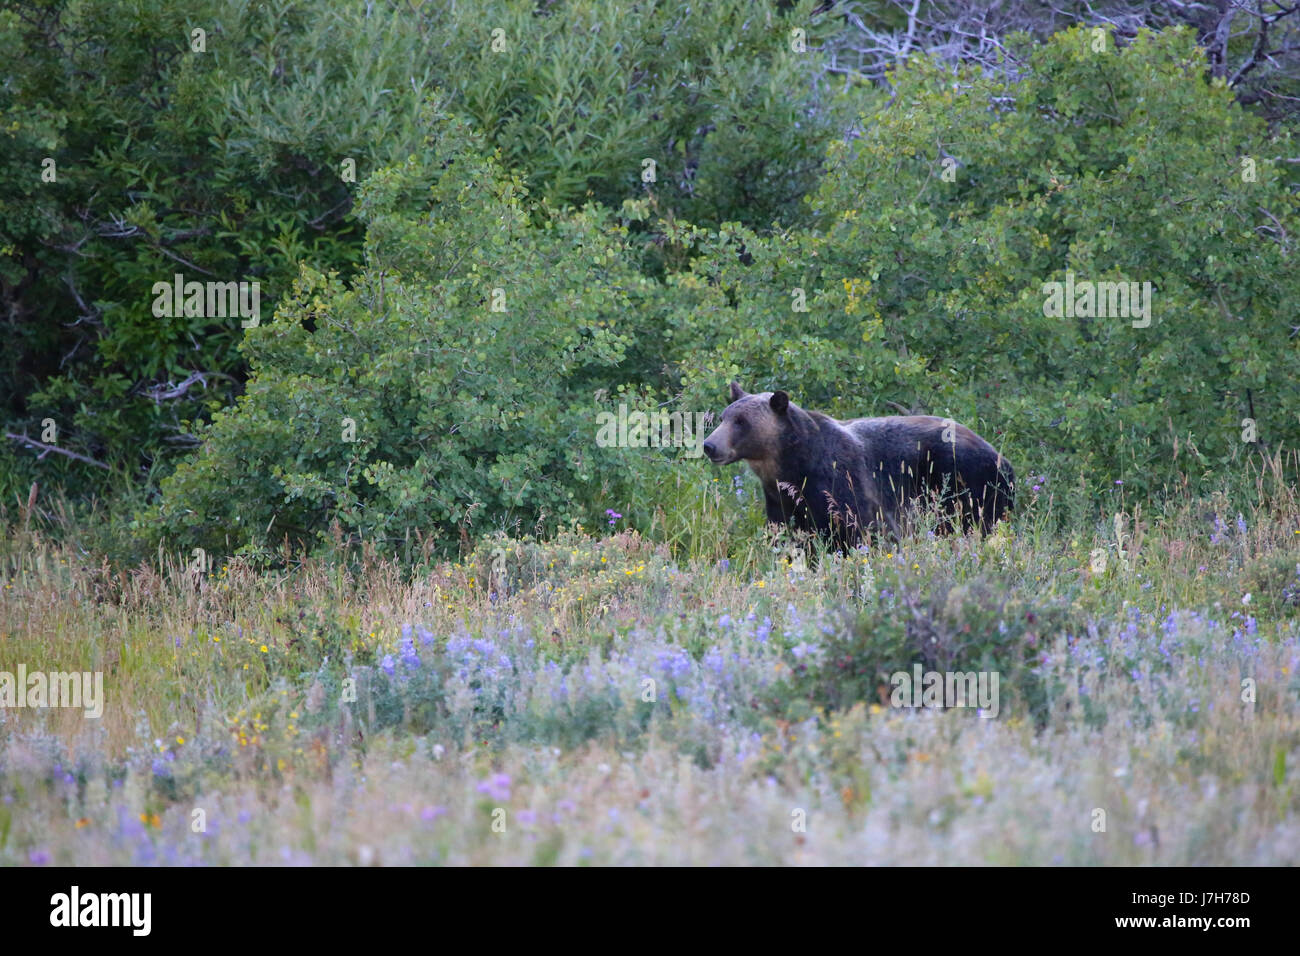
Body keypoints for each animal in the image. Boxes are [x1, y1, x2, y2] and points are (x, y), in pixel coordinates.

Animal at [701, 382, 1014, 550]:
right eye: (725, 417)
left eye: (741, 421)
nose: (709, 445)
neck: (794, 465)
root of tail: (1002, 457)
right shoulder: (781, 499)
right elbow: (788, 536)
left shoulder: (841, 481)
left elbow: (860, 529)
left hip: (965, 480)